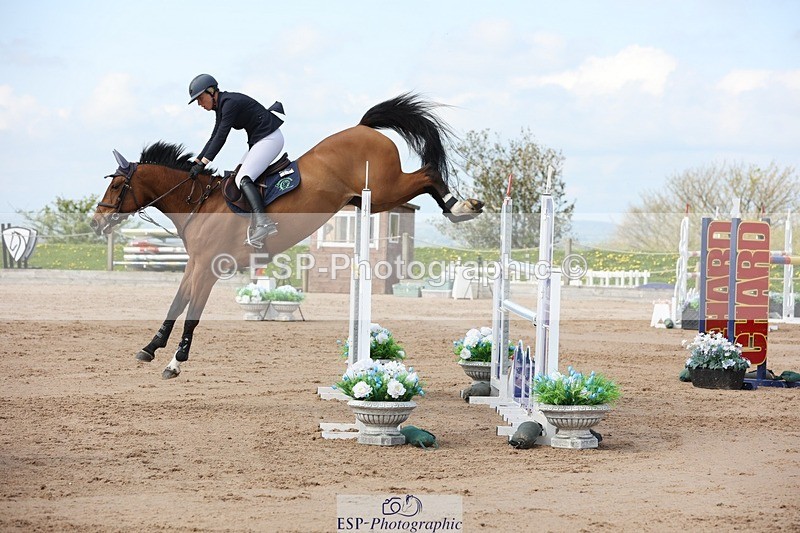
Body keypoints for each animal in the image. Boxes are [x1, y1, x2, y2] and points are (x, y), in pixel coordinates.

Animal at [91, 93, 483, 379]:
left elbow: (192, 314)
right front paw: (150, 348)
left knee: (428, 173)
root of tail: (363, 127)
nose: (97, 223)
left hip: (386, 188)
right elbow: (175, 305)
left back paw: (463, 206)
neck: (198, 203)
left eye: (117, 186)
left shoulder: (208, 268)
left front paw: (175, 362)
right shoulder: (196, 265)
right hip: (369, 199)